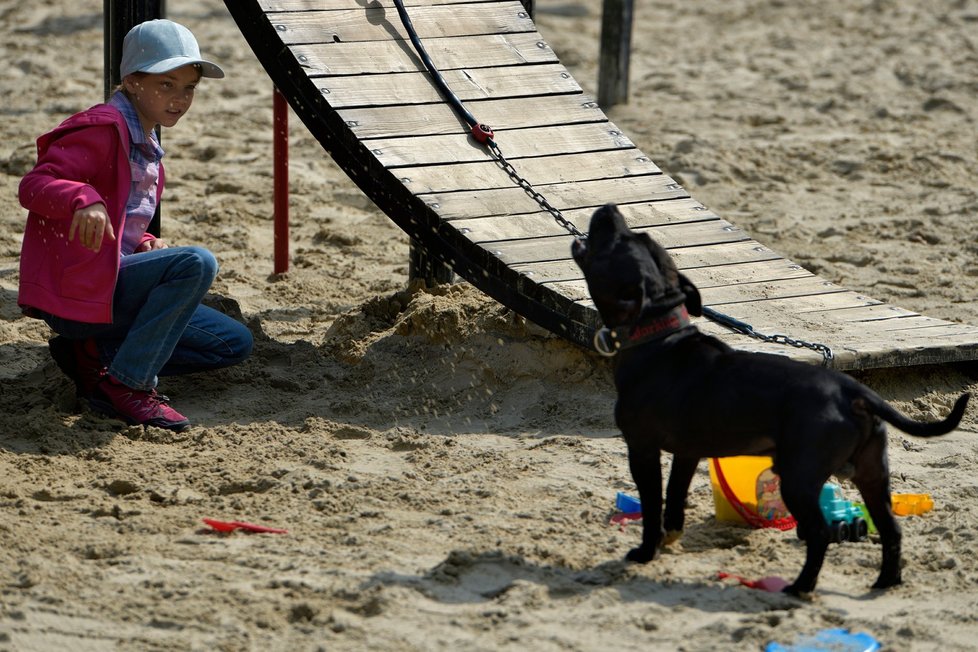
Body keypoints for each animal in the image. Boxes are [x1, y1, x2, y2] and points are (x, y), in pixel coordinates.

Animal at [572, 205, 968, 596]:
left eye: (618, 242)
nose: (609, 208)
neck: (659, 337)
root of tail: (853, 392)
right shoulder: (688, 453)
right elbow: (675, 496)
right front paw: (670, 536)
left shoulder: (642, 448)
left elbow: (654, 505)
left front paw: (645, 552)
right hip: (872, 476)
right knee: (891, 530)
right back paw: (886, 581)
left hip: (799, 480)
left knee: (820, 533)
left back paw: (800, 587)